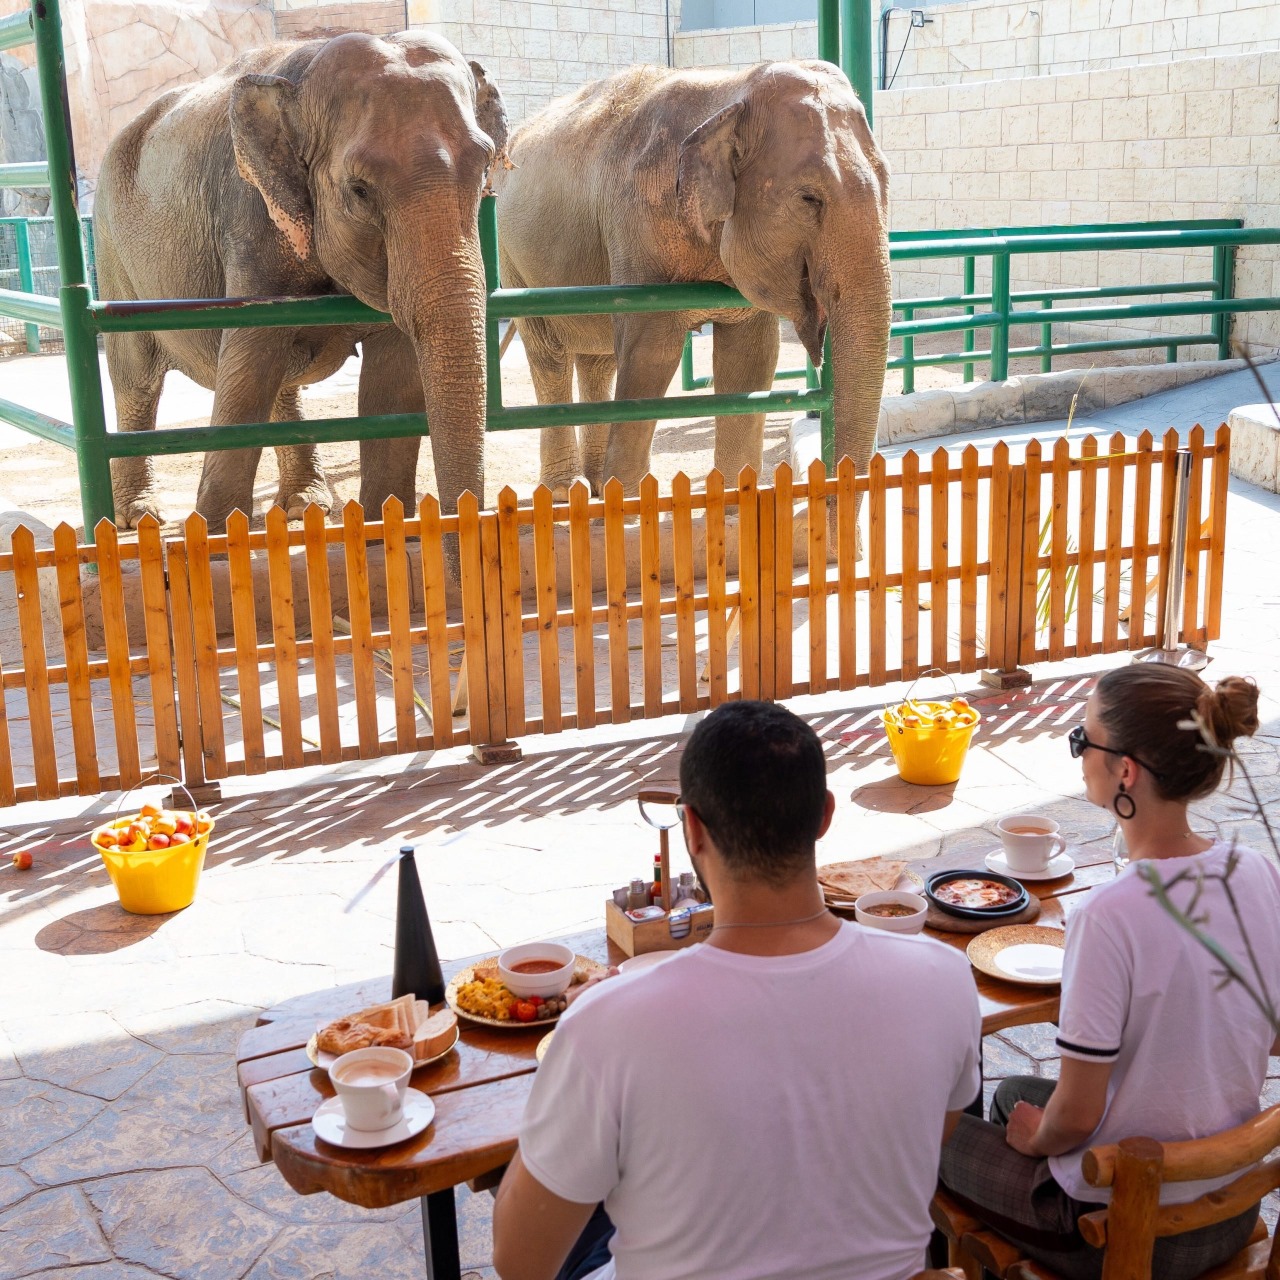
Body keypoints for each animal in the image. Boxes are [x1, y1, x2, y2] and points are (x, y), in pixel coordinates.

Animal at [93, 31, 508, 531]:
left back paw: (304, 504)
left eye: (486, 167)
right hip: (112, 251)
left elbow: (390, 383)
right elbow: (247, 374)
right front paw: (212, 538)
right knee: (136, 376)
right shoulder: (250, 221)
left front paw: (379, 529)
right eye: (359, 190)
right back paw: (139, 517)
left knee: (281, 378)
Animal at [492, 61, 891, 499]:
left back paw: (594, 486)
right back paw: (566, 492)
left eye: (887, 181)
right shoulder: (637, 222)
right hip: (513, 260)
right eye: (809, 199)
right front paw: (629, 504)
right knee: (549, 357)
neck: (730, 89)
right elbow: (651, 353)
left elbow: (751, 360)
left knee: (598, 360)